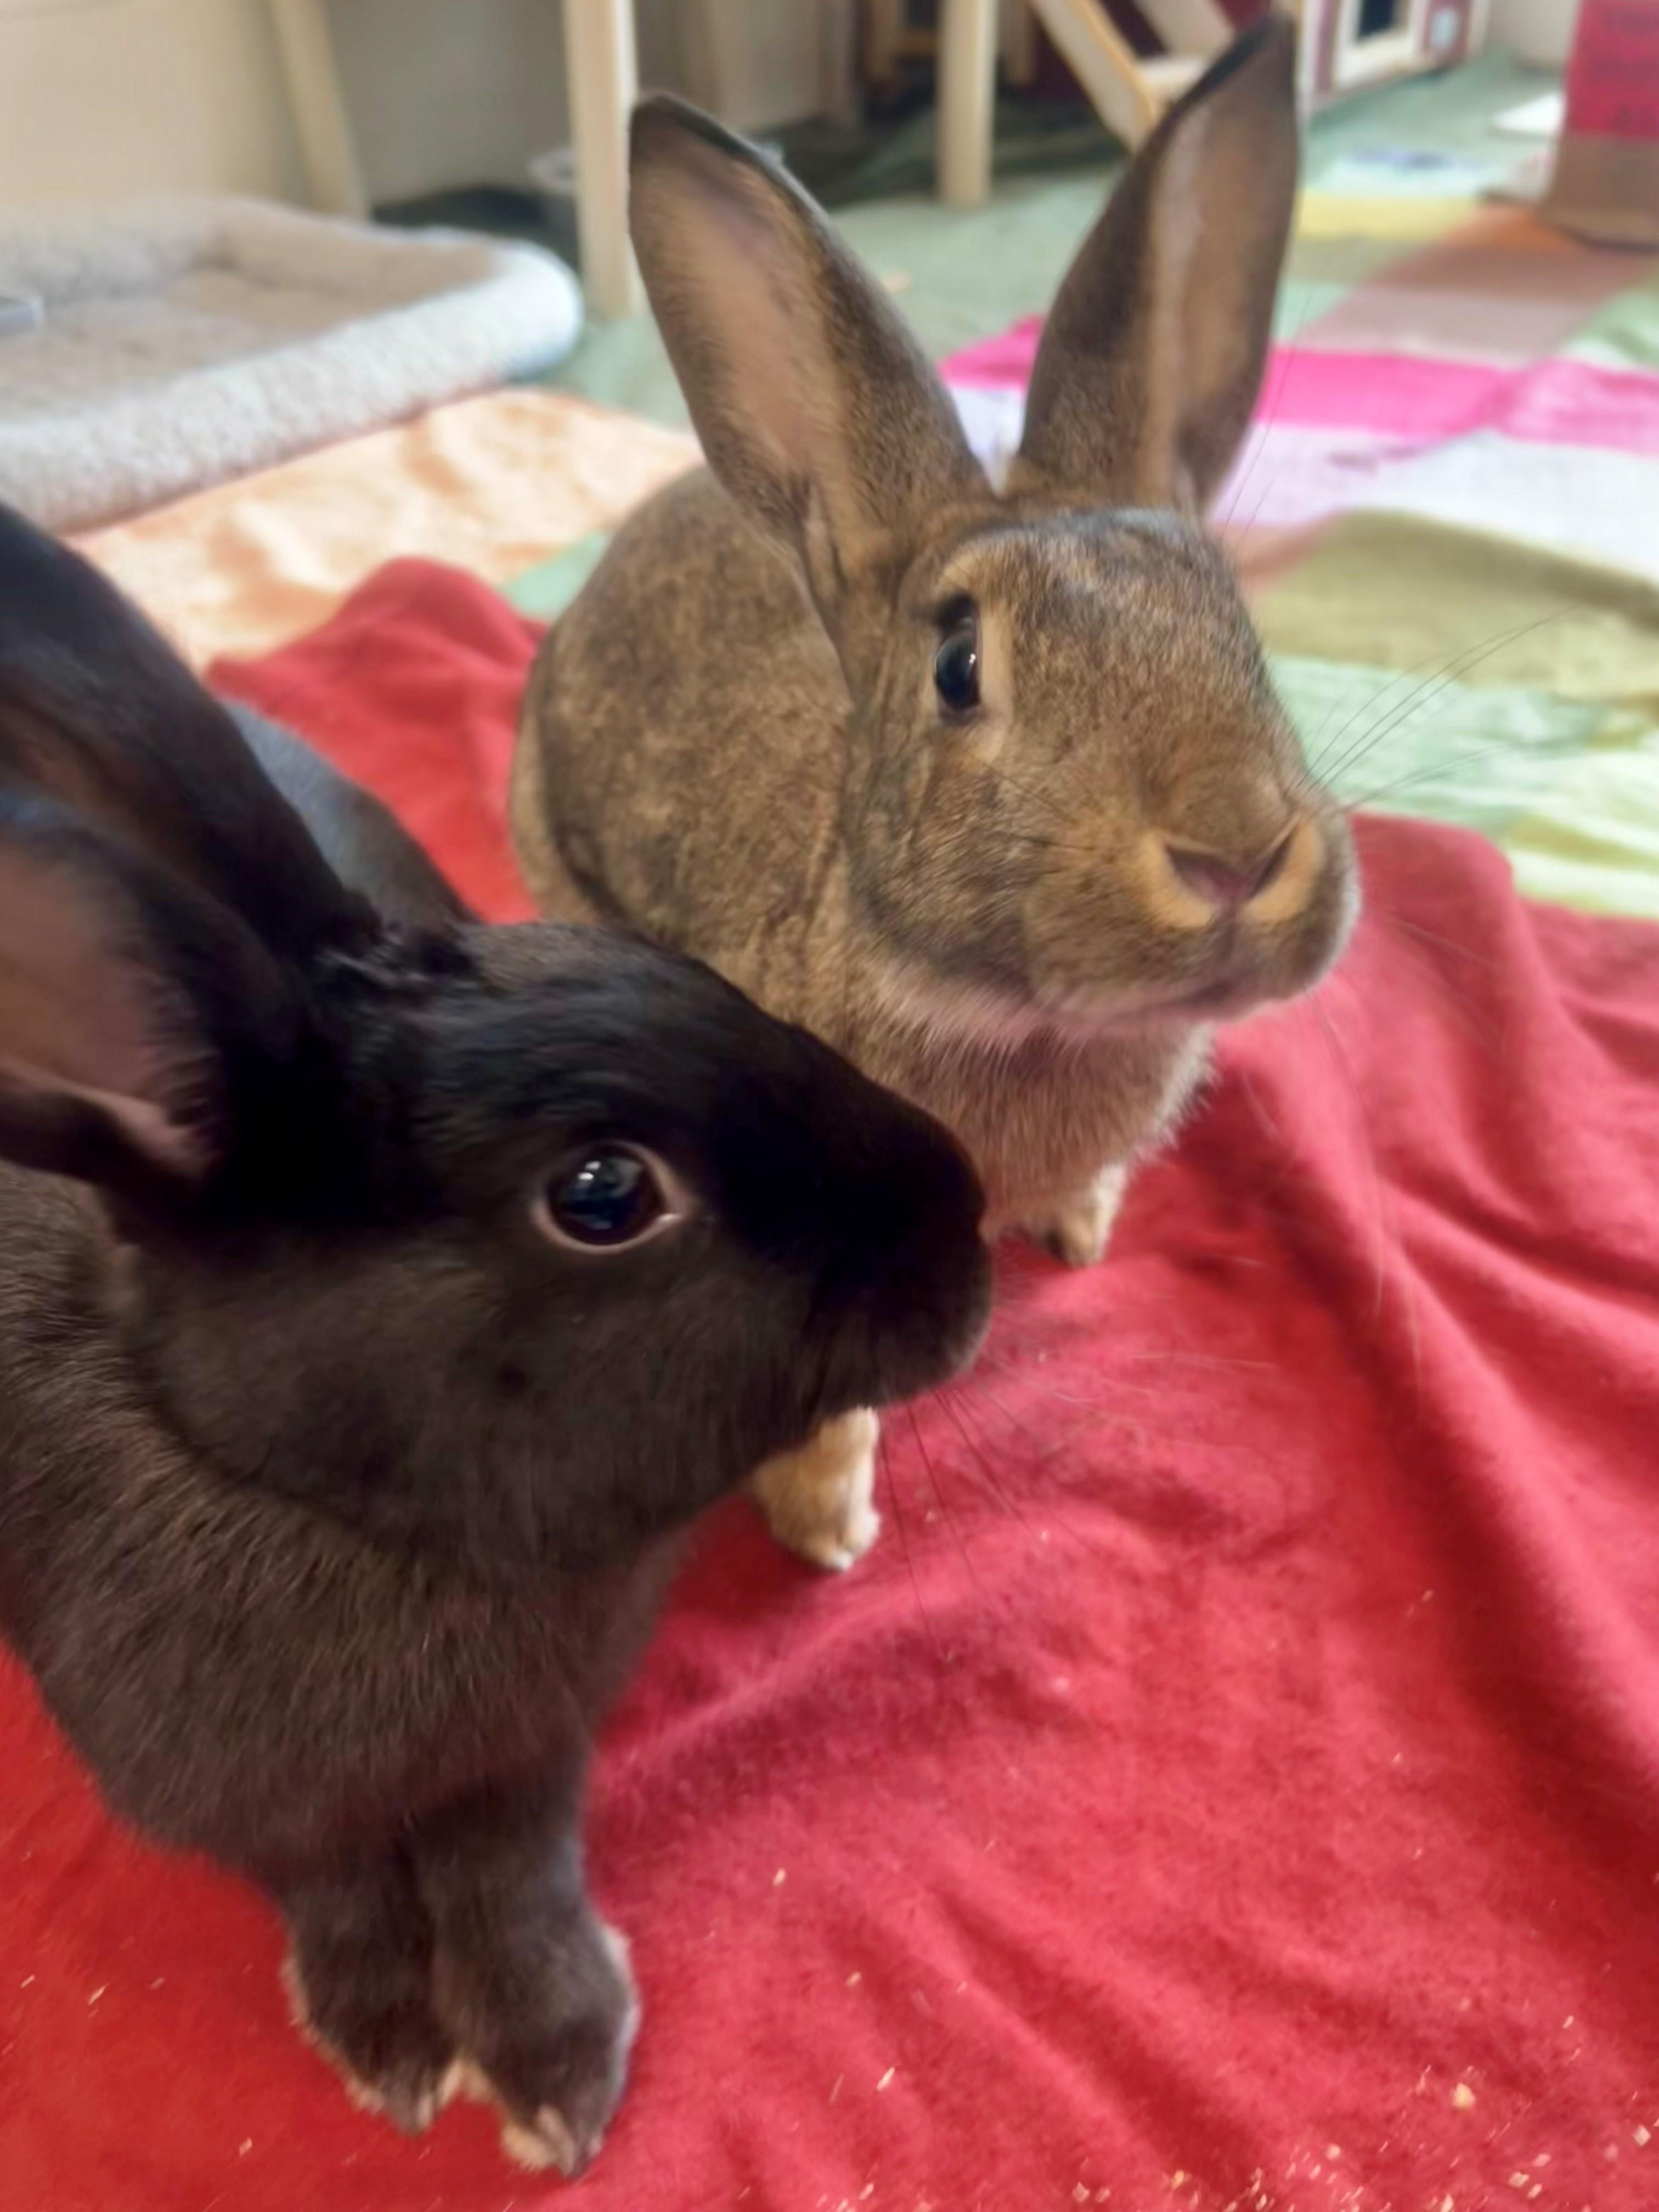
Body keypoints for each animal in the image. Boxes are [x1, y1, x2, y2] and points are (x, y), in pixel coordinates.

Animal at [0, 504, 991, 2175]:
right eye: (602, 1194)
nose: (969, 1227)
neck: (324, 1503)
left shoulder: (525, 1766)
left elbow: (507, 1881)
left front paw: (553, 2065)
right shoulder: (252, 1806)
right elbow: (335, 1889)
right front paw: (390, 2042)